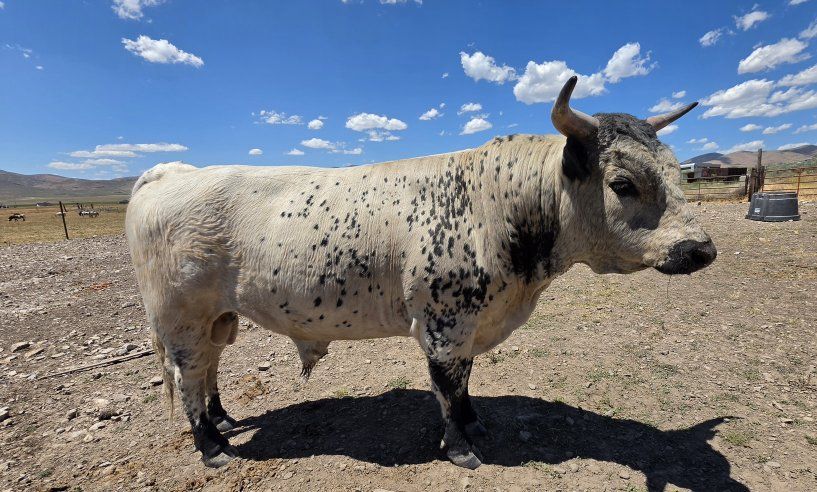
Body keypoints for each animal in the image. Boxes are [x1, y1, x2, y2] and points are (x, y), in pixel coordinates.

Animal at [125, 77, 716, 469]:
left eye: (674, 170)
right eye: (623, 183)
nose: (702, 249)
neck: (496, 207)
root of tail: (169, 172)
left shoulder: (471, 323)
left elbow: (466, 383)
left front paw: (476, 423)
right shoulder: (443, 324)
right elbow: (447, 387)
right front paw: (460, 448)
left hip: (217, 318)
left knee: (209, 369)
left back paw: (224, 422)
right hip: (180, 318)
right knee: (189, 377)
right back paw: (211, 448)